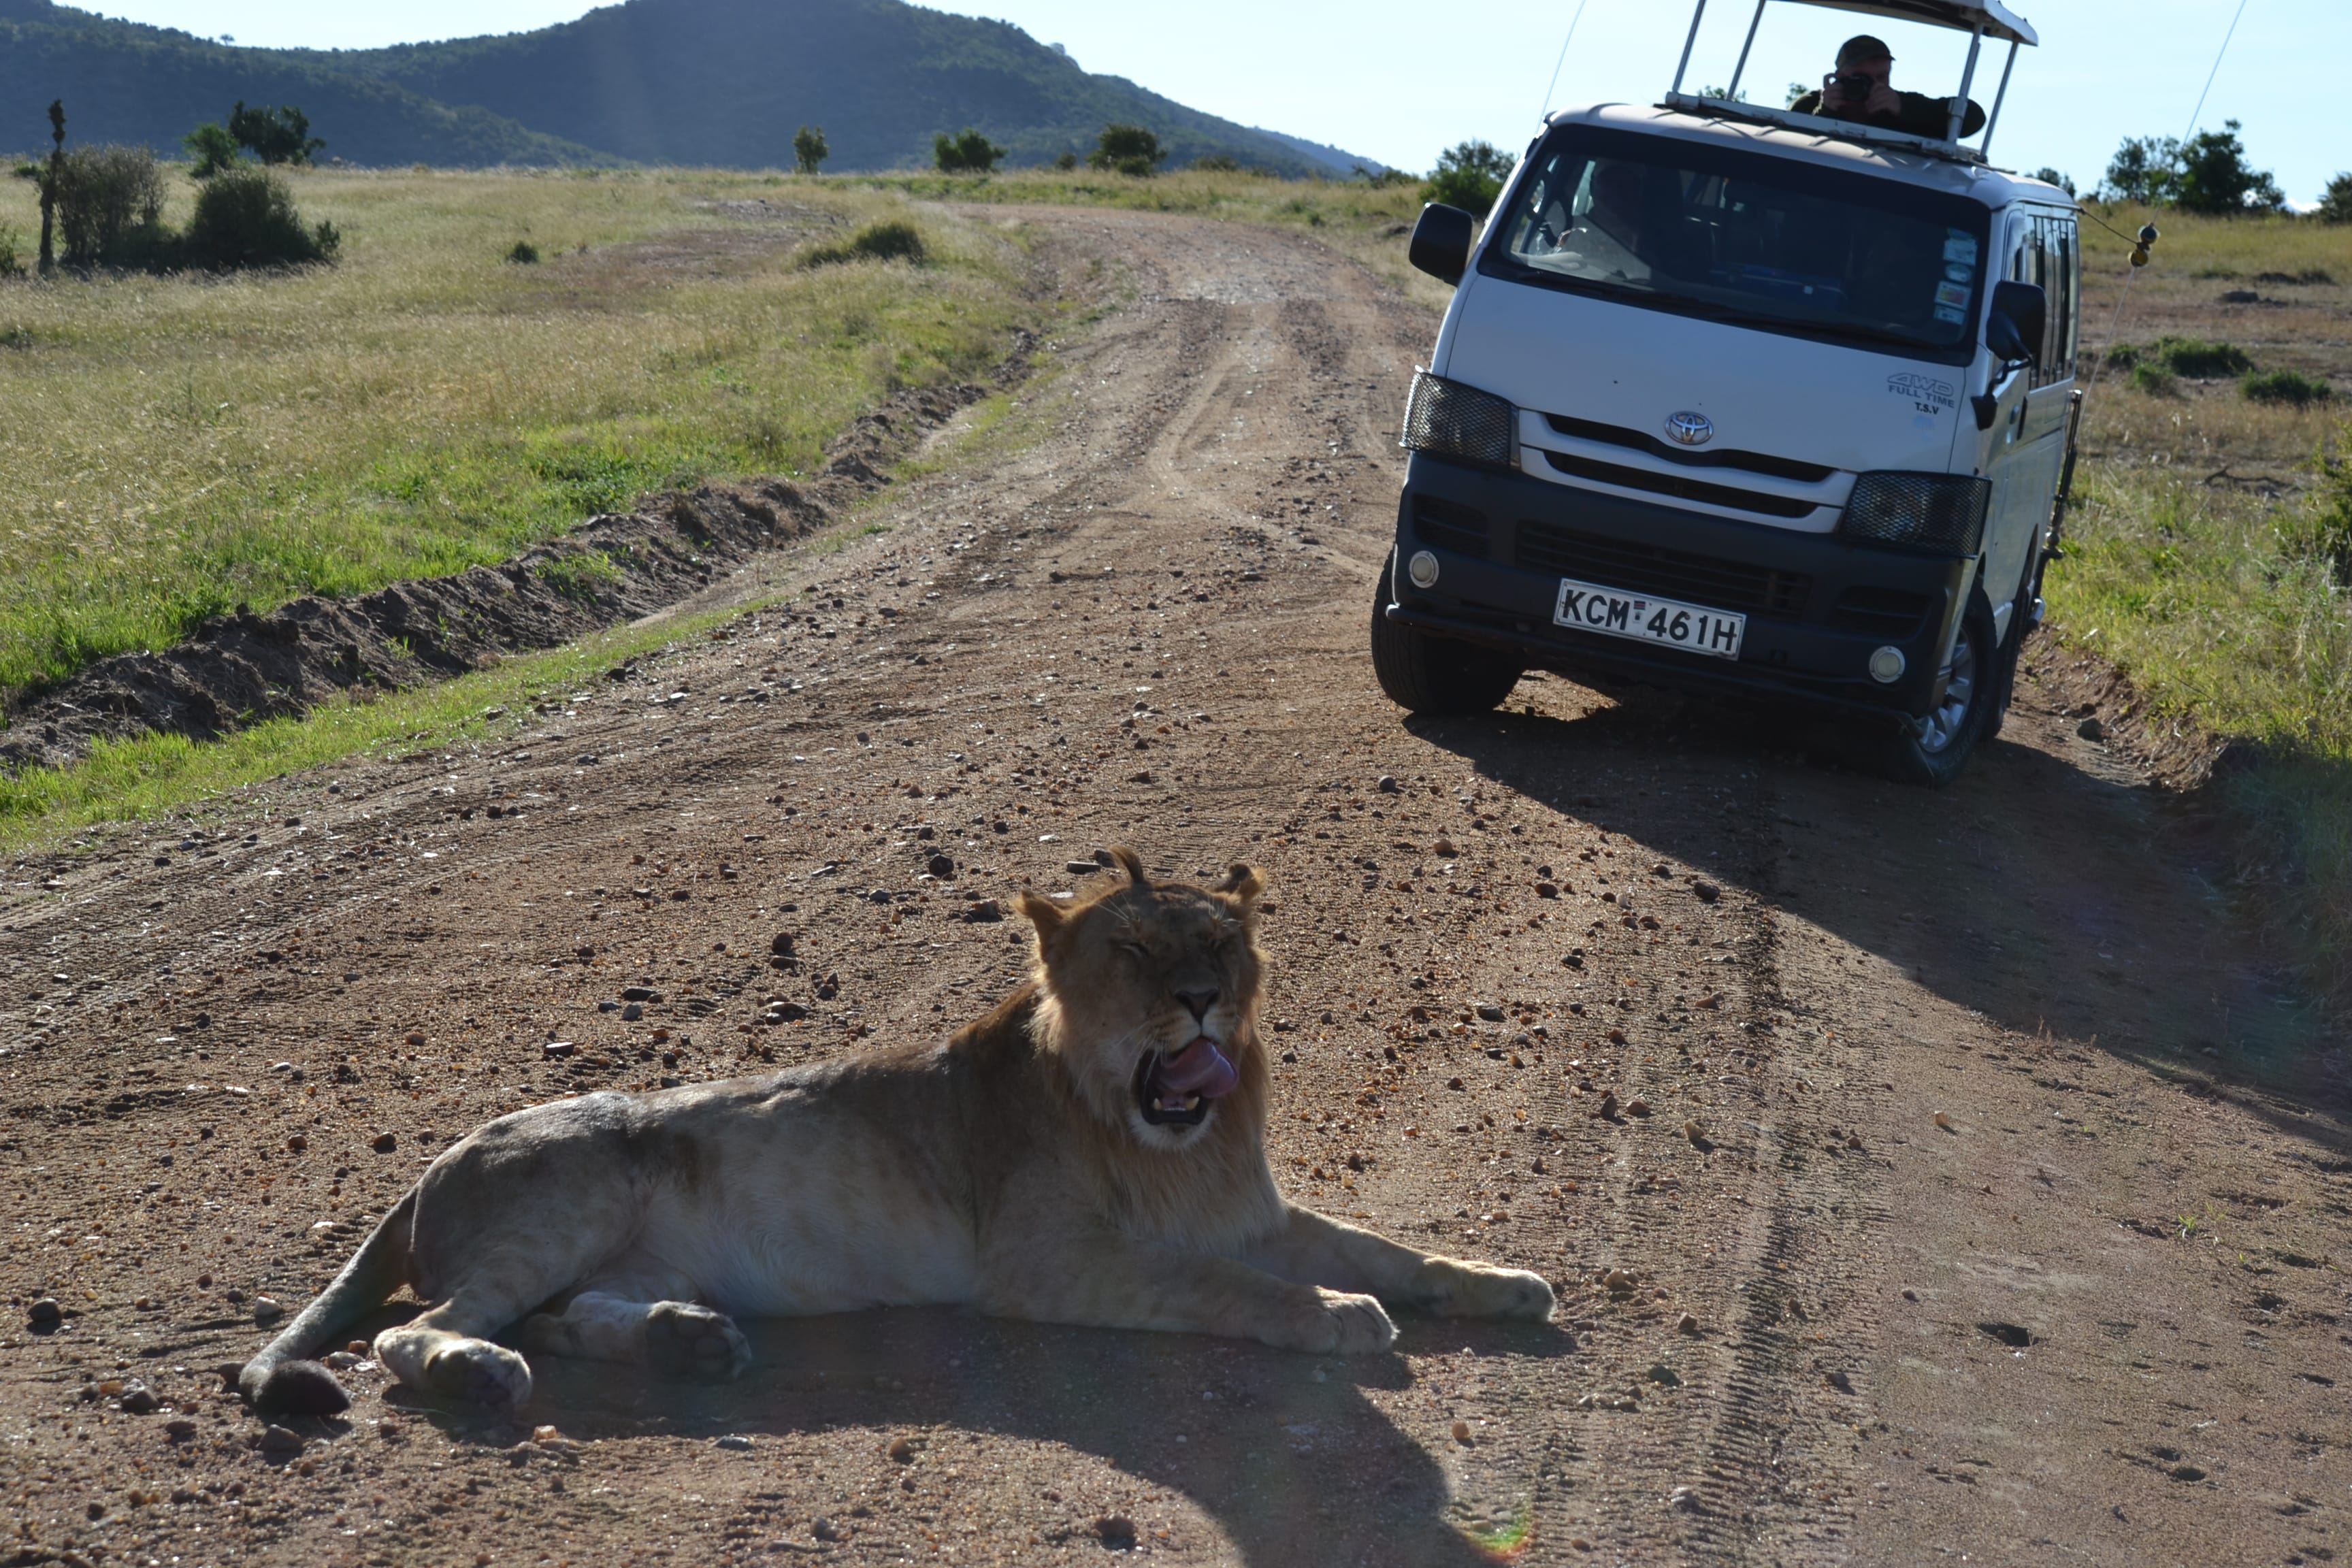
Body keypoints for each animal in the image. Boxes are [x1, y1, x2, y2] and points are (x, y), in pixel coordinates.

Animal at [240, 848, 1555, 1415]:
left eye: (1222, 947)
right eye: (1134, 948)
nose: (1199, 999)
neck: (1174, 1139)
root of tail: (428, 1164)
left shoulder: (1249, 1213)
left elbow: (1388, 1244)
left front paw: (1502, 1281)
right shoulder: (1047, 1261)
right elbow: (1231, 1287)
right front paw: (1338, 1316)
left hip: (621, 1253)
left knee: (570, 1316)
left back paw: (687, 1343)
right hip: (569, 1197)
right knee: (417, 1332)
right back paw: (483, 1370)